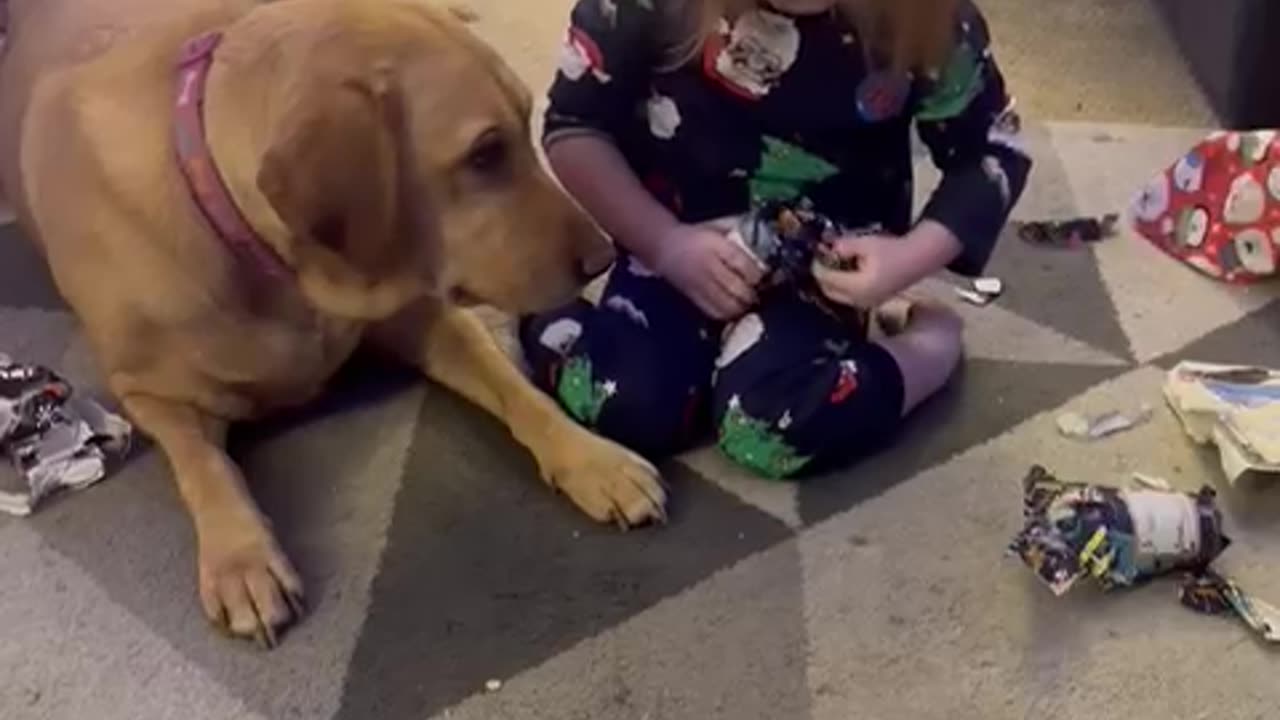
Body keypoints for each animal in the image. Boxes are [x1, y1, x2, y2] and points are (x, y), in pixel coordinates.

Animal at [2, 0, 670, 645]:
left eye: (528, 125)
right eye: (484, 154)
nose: (604, 256)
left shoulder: (423, 312)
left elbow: (519, 392)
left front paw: (596, 460)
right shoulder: (150, 393)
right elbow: (206, 468)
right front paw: (242, 559)